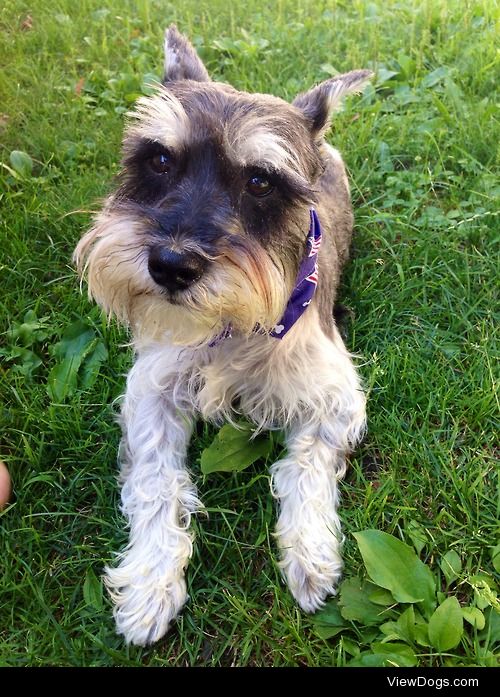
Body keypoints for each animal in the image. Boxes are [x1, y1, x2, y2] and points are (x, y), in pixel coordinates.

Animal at [74, 27, 372, 648]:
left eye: (260, 180)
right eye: (159, 159)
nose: (171, 265)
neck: (231, 330)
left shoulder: (337, 401)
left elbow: (305, 467)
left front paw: (310, 556)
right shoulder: (152, 393)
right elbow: (157, 482)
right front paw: (149, 586)